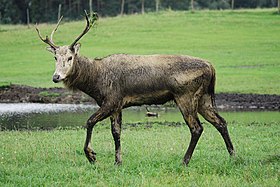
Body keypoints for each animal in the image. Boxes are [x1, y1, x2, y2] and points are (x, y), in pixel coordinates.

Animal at [36, 10, 235, 166]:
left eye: (70, 57)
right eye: (55, 57)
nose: (56, 77)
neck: (95, 83)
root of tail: (211, 67)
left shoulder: (111, 99)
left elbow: (90, 121)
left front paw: (91, 156)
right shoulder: (117, 105)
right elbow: (116, 132)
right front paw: (118, 161)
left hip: (185, 95)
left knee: (197, 128)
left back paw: (185, 161)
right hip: (204, 98)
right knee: (220, 121)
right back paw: (233, 155)